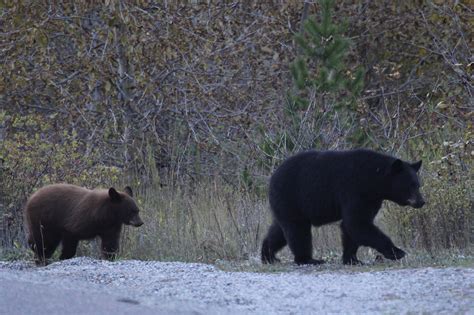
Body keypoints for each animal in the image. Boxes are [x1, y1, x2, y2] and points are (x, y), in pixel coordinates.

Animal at [262, 149, 426, 266]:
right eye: (410, 185)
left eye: (418, 185)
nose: (421, 201)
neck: (374, 178)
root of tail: (272, 177)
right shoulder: (355, 190)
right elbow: (357, 223)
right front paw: (398, 252)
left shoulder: (371, 199)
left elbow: (352, 226)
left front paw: (352, 259)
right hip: (291, 197)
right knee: (298, 230)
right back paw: (308, 259)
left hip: (286, 205)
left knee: (280, 230)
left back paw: (268, 255)